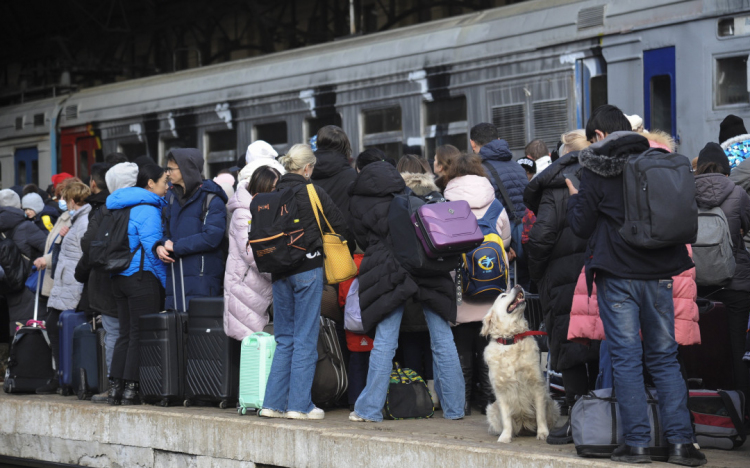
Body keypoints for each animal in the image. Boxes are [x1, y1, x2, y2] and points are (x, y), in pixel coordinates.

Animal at [482, 286, 560, 442]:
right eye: (503, 296)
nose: (517, 285)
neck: (512, 339)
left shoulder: (537, 385)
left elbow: (540, 415)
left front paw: (543, 433)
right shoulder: (501, 391)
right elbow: (506, 418)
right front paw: (505, 437)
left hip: (553, 404)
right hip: (492, 409)